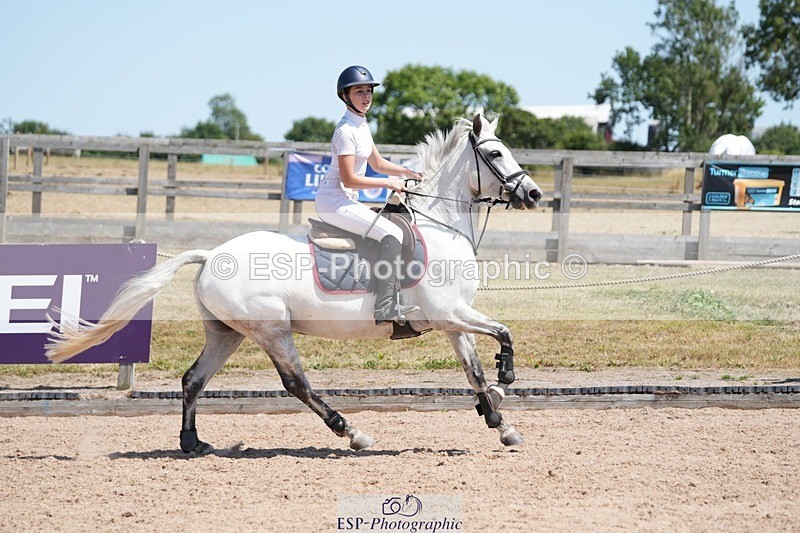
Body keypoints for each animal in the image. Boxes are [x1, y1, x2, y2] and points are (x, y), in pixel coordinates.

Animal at [46, 114, 544, 454]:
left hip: (226, 333)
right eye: (495, 154)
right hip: (272, 329)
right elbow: (503, 334)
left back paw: (194, 443)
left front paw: (501, 422)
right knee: (296, 384)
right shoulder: (450, 314)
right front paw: (507, 377)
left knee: (193, 379)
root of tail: (211, 255)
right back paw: (353, 433)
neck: (441, 224)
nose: (534, 193)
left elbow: (474, 371)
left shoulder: (452, 321)